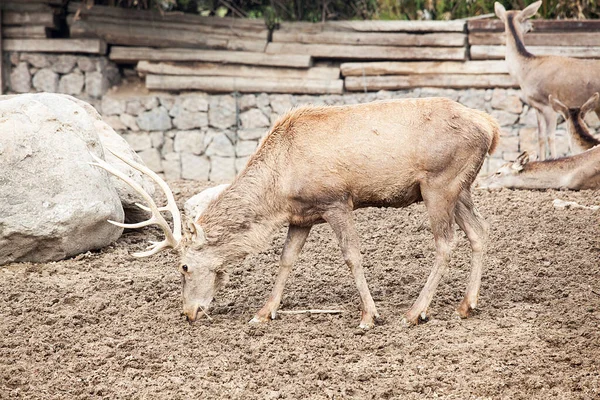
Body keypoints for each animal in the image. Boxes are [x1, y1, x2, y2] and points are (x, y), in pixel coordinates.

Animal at [91, 98, 500, 330]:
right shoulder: (302, 216)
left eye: (184, 267)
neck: (279, 189)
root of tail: (490, 128)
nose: (189, 313)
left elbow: (352, 256)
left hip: (439, 184)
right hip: (460, 187)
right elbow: (286, 259)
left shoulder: (336, 200)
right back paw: (467, 305)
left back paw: (415, 312)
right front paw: (263, 312)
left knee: (445, 242)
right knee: (480, 231)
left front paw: (369, 317)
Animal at [492, 1, 600, 161]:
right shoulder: (537, 106)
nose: (532, 25)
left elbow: (551, 137)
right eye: (525, 19)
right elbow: (541, 136)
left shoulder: (549, 104)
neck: (524, 72)